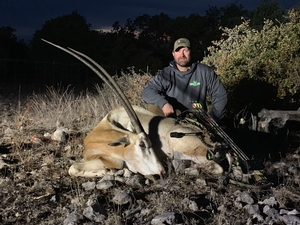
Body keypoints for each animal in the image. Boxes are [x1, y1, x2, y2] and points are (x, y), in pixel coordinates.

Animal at [43, 39, 224, 178]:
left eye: (151, 143)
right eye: (142, 145)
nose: (162, 171)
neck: (99, 135)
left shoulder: (113, 160)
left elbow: (73, 167)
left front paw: (107, 172)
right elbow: (73, 167)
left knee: (217, 167)